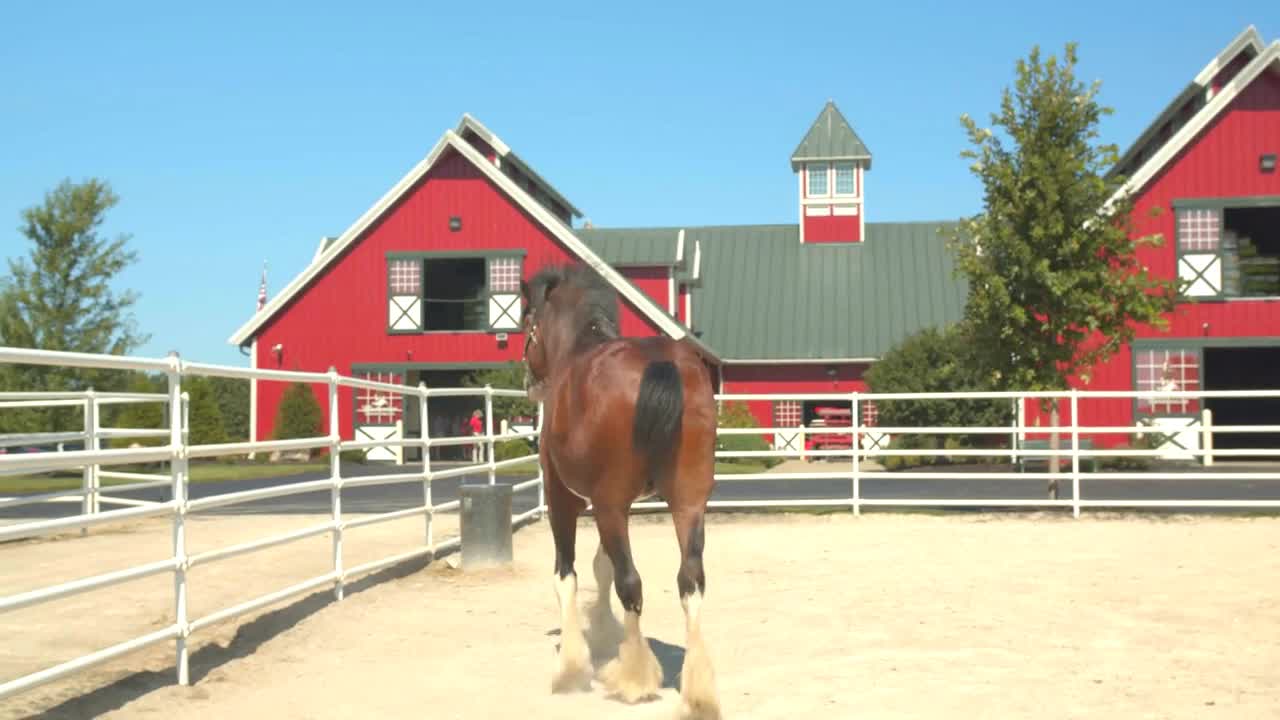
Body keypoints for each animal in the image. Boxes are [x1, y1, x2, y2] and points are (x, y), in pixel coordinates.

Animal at [519, 262, 721, 712]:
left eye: (528, 320)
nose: (528, 379)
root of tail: (661, 364)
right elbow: (603, 566)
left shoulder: (566, 500)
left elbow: (568, 575)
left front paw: (571, 669)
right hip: (688, 503)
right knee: (691, 580)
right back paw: (698, 690)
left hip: (610, 505)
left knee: (633, 583)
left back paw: (634, 680)